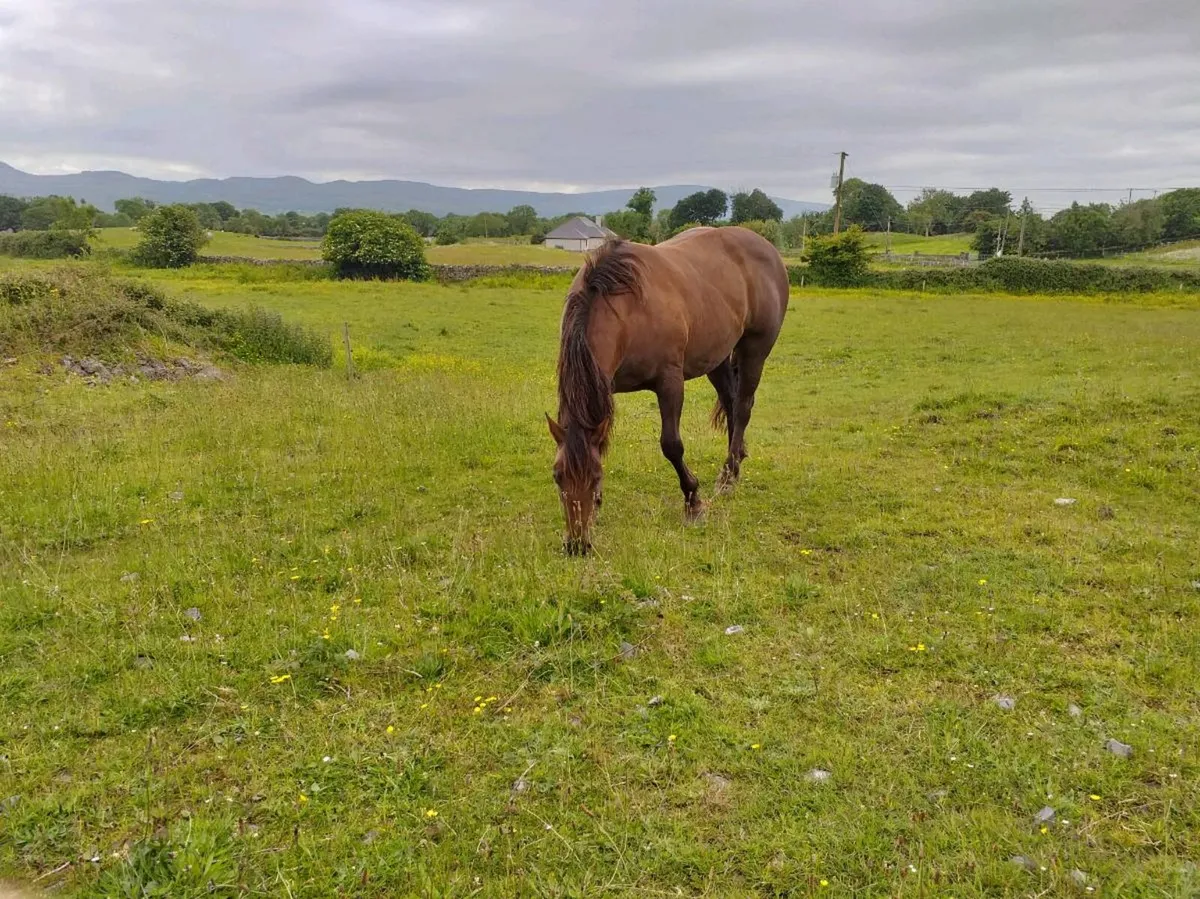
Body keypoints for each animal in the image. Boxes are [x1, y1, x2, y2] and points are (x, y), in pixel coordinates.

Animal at [546, 225, 789, 555]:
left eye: (595, 477)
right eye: (558, 477)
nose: (577, 545)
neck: (627, 308)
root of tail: (766, 247)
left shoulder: (669, 382)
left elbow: (671, 445)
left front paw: (694, 503)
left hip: (755, 350)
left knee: (743, 407)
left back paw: (728, 476)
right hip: (716, 357)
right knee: (730, 402)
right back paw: (735, 461)